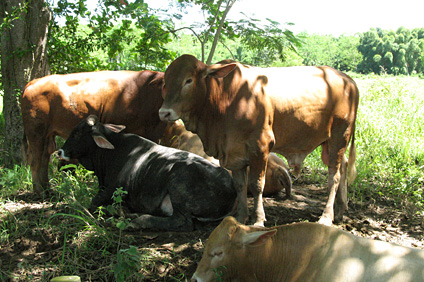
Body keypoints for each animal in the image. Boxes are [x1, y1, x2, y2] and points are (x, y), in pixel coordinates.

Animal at [21, 70, 166, 194]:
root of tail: (33, 82)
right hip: (36, 133)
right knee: (35, 160)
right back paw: (39, 191)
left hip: (47, 135)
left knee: (44, 158)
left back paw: (47, 188)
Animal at [58, 114, 238, 231]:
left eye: (78, 133)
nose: (60, 151)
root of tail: (232, 189)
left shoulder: (114, 188)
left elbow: (93, 203)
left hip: (178, 182)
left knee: (183, 222)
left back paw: (137, 221)